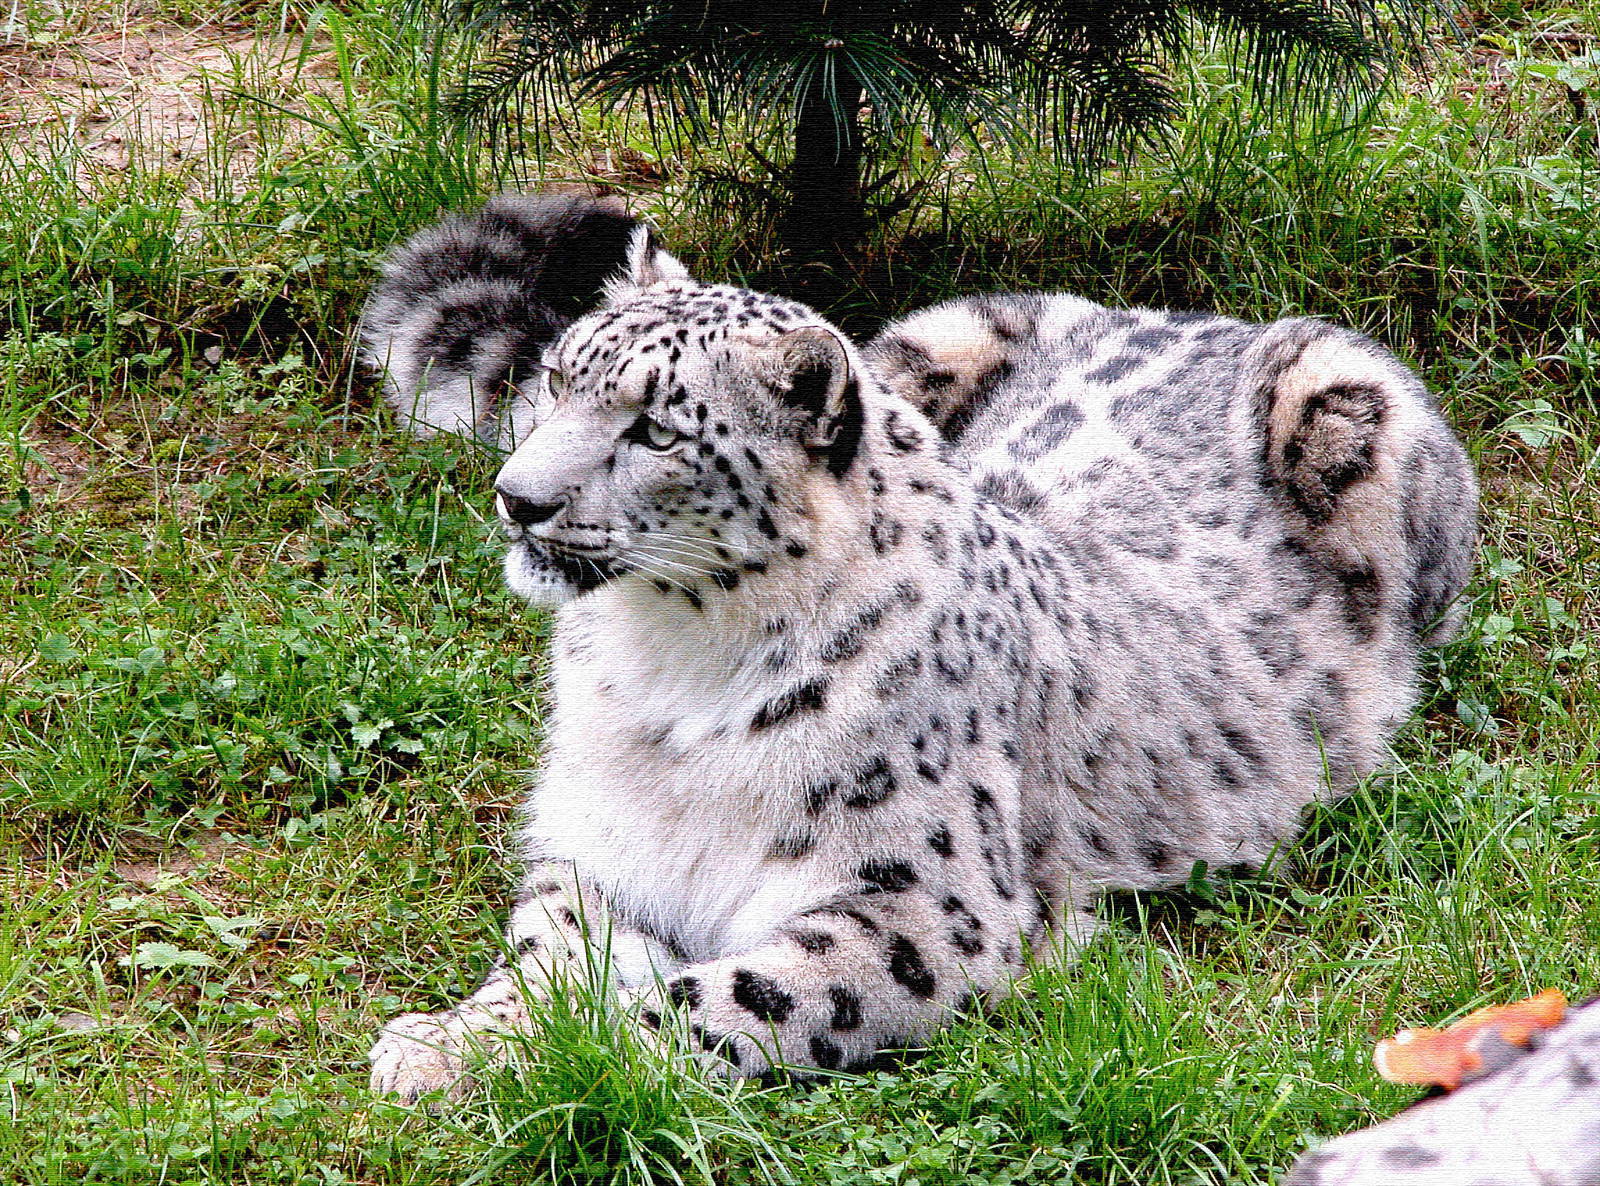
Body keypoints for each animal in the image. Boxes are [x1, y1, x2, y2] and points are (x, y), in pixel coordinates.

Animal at [367, 226, 1477, 1101]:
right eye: (560, 378)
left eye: (656, 430)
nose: (518, 497)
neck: (667, 668)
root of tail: (1203, 313)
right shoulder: (606, 853)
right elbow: (549, 954)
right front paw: (448, 1043)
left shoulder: (916, 907)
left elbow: (714, 995)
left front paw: (527, 1059)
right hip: (932, 332)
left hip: (1353, 412)